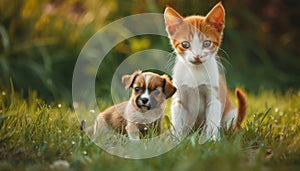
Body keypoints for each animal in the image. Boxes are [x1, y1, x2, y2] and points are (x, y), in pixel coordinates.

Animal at [164, 2, 246, 142]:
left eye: (207, 43)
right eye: (185, 44)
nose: (197, 56)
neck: (195, 71)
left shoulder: (215, 97)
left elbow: (212, 121)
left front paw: (212, 140)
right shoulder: (179, 99)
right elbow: (178, 120)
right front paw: (176, 140)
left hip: (230, 115)